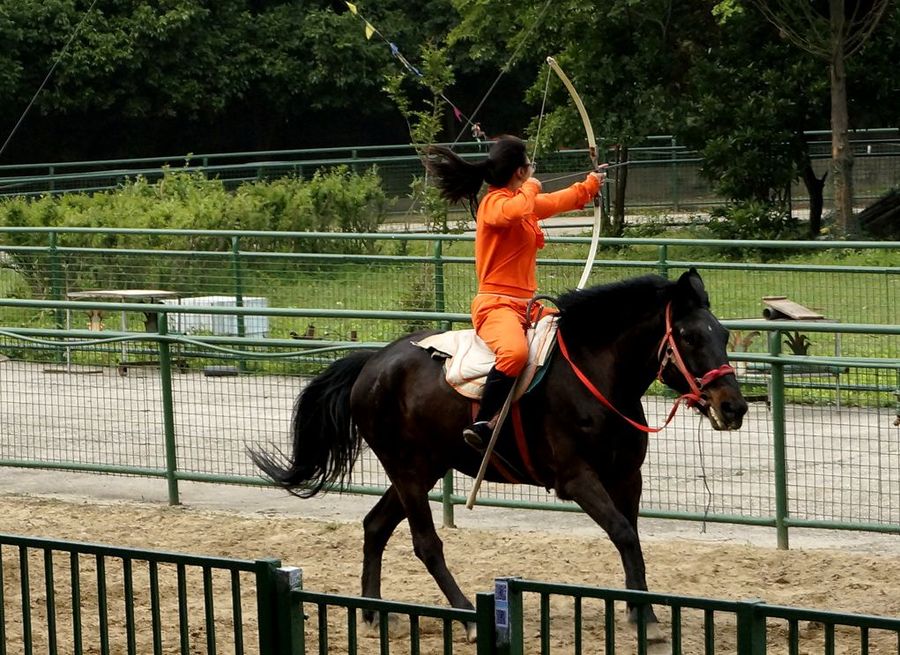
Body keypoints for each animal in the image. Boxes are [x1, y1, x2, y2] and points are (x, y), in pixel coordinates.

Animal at [251, 270, 744, 644]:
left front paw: (644, 614)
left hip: (422, 470)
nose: (734, 407)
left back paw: (372, 612)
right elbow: (623, 534)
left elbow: (634, 541)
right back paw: (467, 615)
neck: (595, 377)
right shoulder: (577, 479)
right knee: (425, 544)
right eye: (688, 335)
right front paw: (647, 622)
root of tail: (371, 363)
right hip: (409, 472)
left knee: (375, 526)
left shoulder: (627, 477)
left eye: (722, 334)